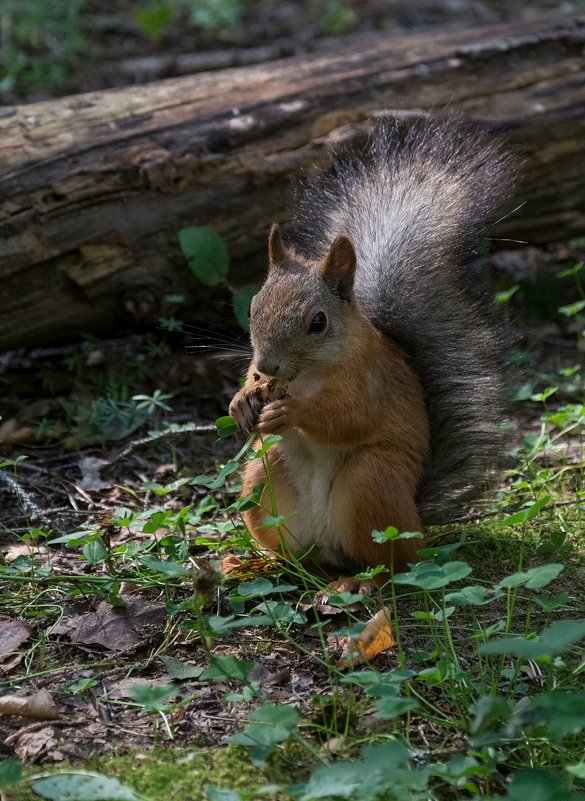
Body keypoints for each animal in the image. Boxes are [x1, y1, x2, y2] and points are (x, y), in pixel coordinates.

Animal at [228, 115, 516, 580]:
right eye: (254, 307)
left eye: (318, 322)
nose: (268, 368)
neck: (307, 376)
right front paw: (242, 400)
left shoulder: (370, 381)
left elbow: (346, 417)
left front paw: (290, 412)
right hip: (263, 476)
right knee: (297, 555)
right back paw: (258, 564)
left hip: (371, 481)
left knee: (391, 565)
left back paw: (359, 584)